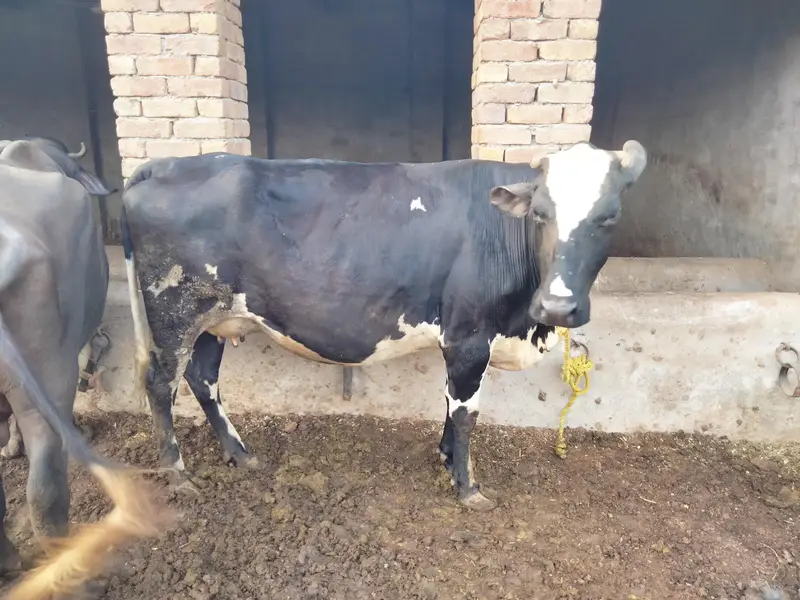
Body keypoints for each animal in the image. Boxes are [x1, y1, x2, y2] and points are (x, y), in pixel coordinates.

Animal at [121, 140, 647, 510]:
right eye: (540, 213)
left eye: (609, 217)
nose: (558, 306)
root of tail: (164, 164)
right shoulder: (469, 336)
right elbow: (466, 412)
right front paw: (467, 485)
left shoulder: (458, 340)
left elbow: (449, 403)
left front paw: (446, 457)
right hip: (174, 312)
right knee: (162, 384)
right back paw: (178, 473)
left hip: (217, 318)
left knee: (202, 379)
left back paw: (239, 452)